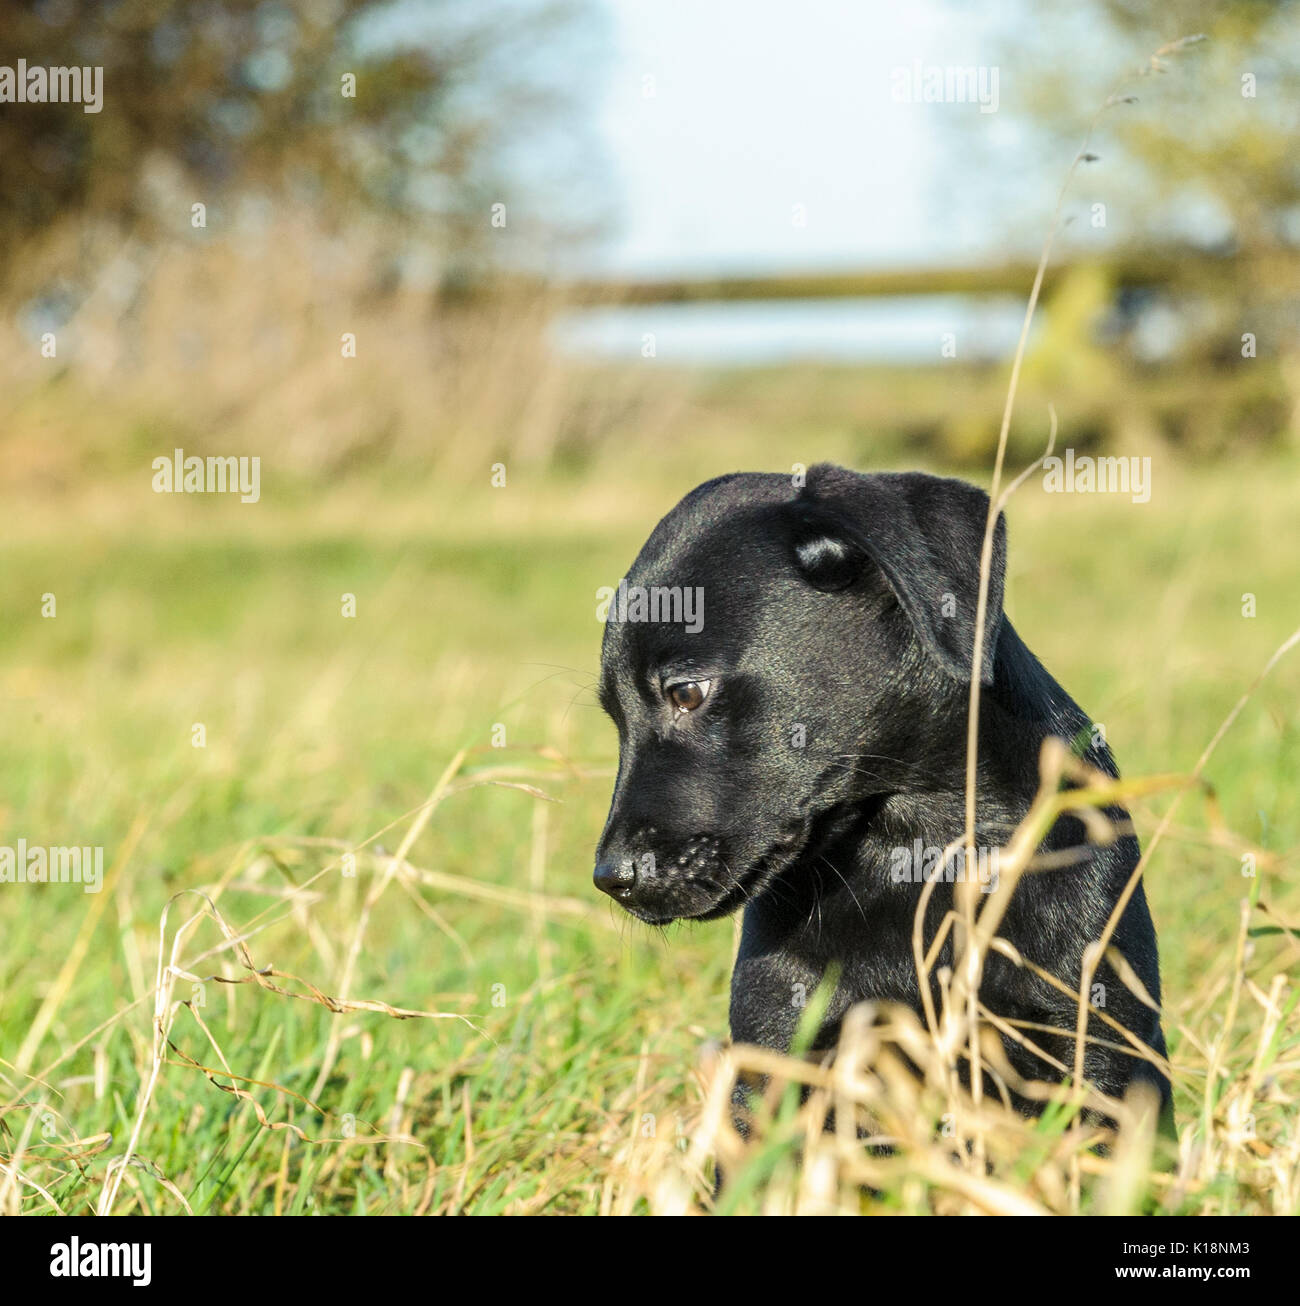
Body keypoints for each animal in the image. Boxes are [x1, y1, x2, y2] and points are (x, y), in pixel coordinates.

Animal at [595, 464, 1175, 1117]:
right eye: (614, 715)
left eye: (687, 692)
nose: (611, 878)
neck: (916, 841)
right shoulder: (778, 1046)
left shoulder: (1094, 1046)